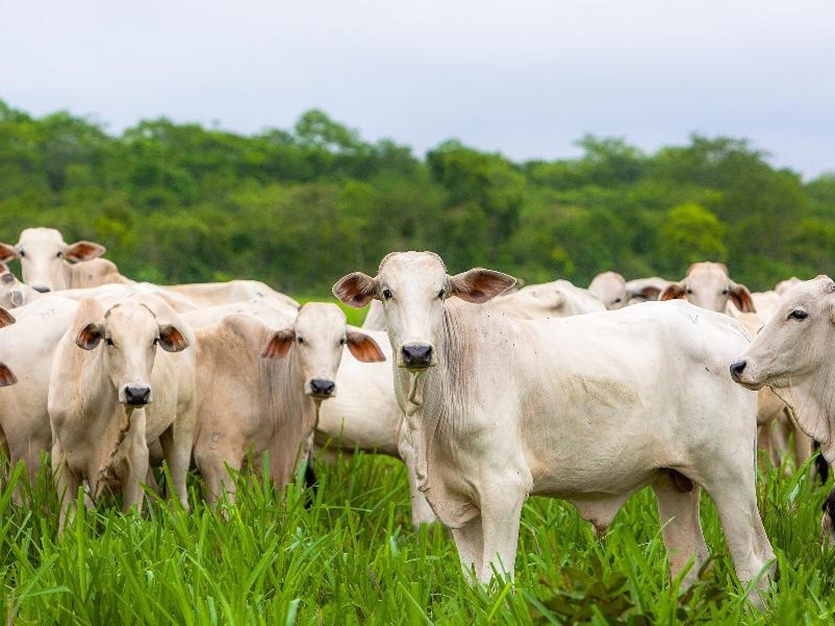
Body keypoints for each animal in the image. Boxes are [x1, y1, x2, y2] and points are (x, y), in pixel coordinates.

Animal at [334, 250, 776, 600]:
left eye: (441, 292)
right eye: (386, 292)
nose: (417, 351)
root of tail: (726, 327)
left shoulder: (504, 488)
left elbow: (497, 580)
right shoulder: (457, 503)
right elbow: (475, 584)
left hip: (729, 474)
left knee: (755, 561)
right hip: (673, 479)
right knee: (689, 561)